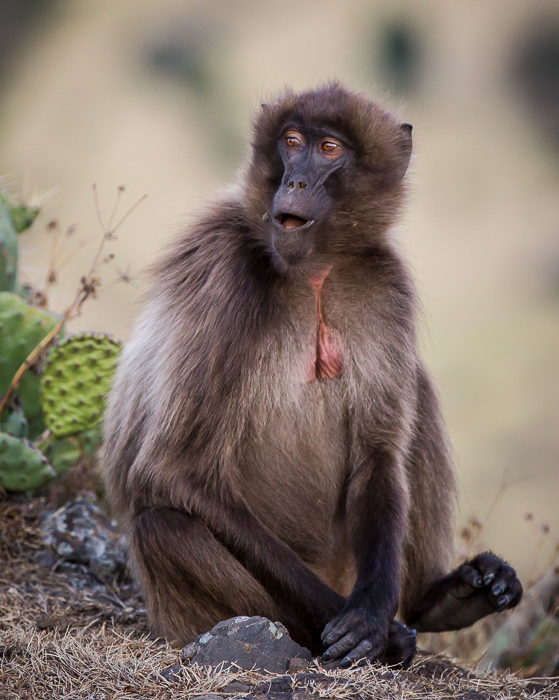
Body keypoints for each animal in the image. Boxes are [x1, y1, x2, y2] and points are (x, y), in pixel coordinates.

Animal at [101, 83, 524, 668]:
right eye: (292, 142)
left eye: (328, 149)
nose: (296, 182)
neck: (314, 273)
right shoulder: (223, 272)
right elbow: (172, 470)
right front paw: (377, 632)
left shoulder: (384, 284)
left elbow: (378, 451)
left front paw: (372, 616)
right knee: (163, 528)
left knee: (415, 391)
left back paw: (441, 600)